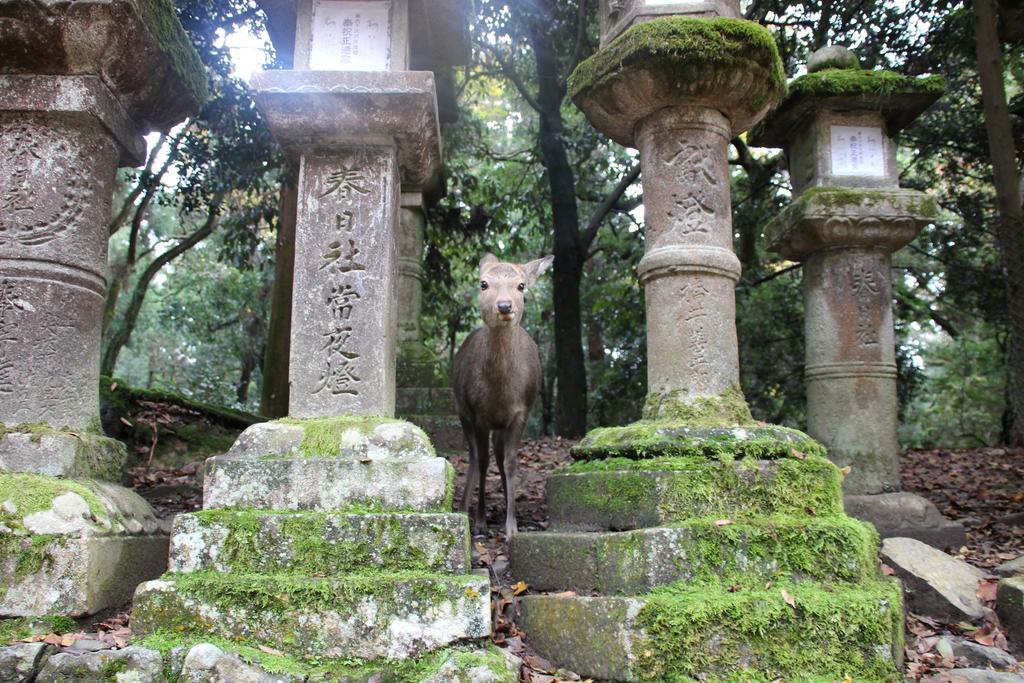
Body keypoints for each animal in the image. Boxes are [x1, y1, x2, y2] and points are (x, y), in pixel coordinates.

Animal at [454, 252, 552, 540]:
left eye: (521, 285)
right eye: (483, 283)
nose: (505, 305)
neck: (500, 395)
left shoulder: (521, 412)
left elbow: (510, 462)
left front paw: (512, 527)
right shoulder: (478, 414)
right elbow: (483, 462)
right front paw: (480, 522)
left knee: (497, 455)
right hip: (462, 413)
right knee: (474, 457)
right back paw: (464, 508)